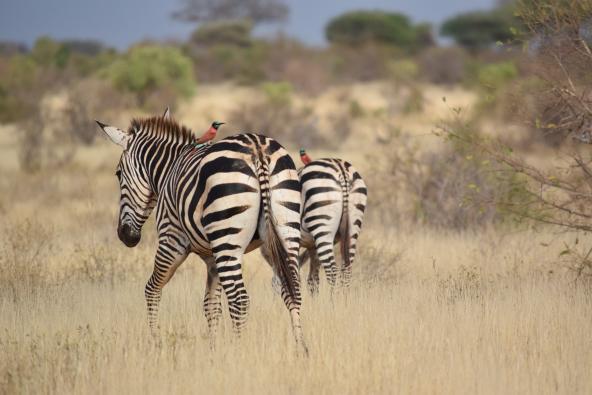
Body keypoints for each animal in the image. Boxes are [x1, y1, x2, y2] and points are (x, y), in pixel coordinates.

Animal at [95, 109, 308, 352]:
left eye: (118, 174)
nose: (125, 235)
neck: (168, 170)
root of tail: (257, 149)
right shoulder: (211, 259)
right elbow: (211, 306)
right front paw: (213, 351)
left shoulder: (171, 240)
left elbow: (152, 290)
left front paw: (156, 343)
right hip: (286, 229)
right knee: (292, 289)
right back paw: (301, 349)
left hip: (227, 240)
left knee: (239, 300)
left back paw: (239, 352)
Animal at [296, 150, 366, 292]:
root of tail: (341, 169)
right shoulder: (312, 247)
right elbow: (312, 279)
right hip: (352, 229)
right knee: (346, 270)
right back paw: (344, 298)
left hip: (322, 226)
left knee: (332, 270)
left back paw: (333, 298)